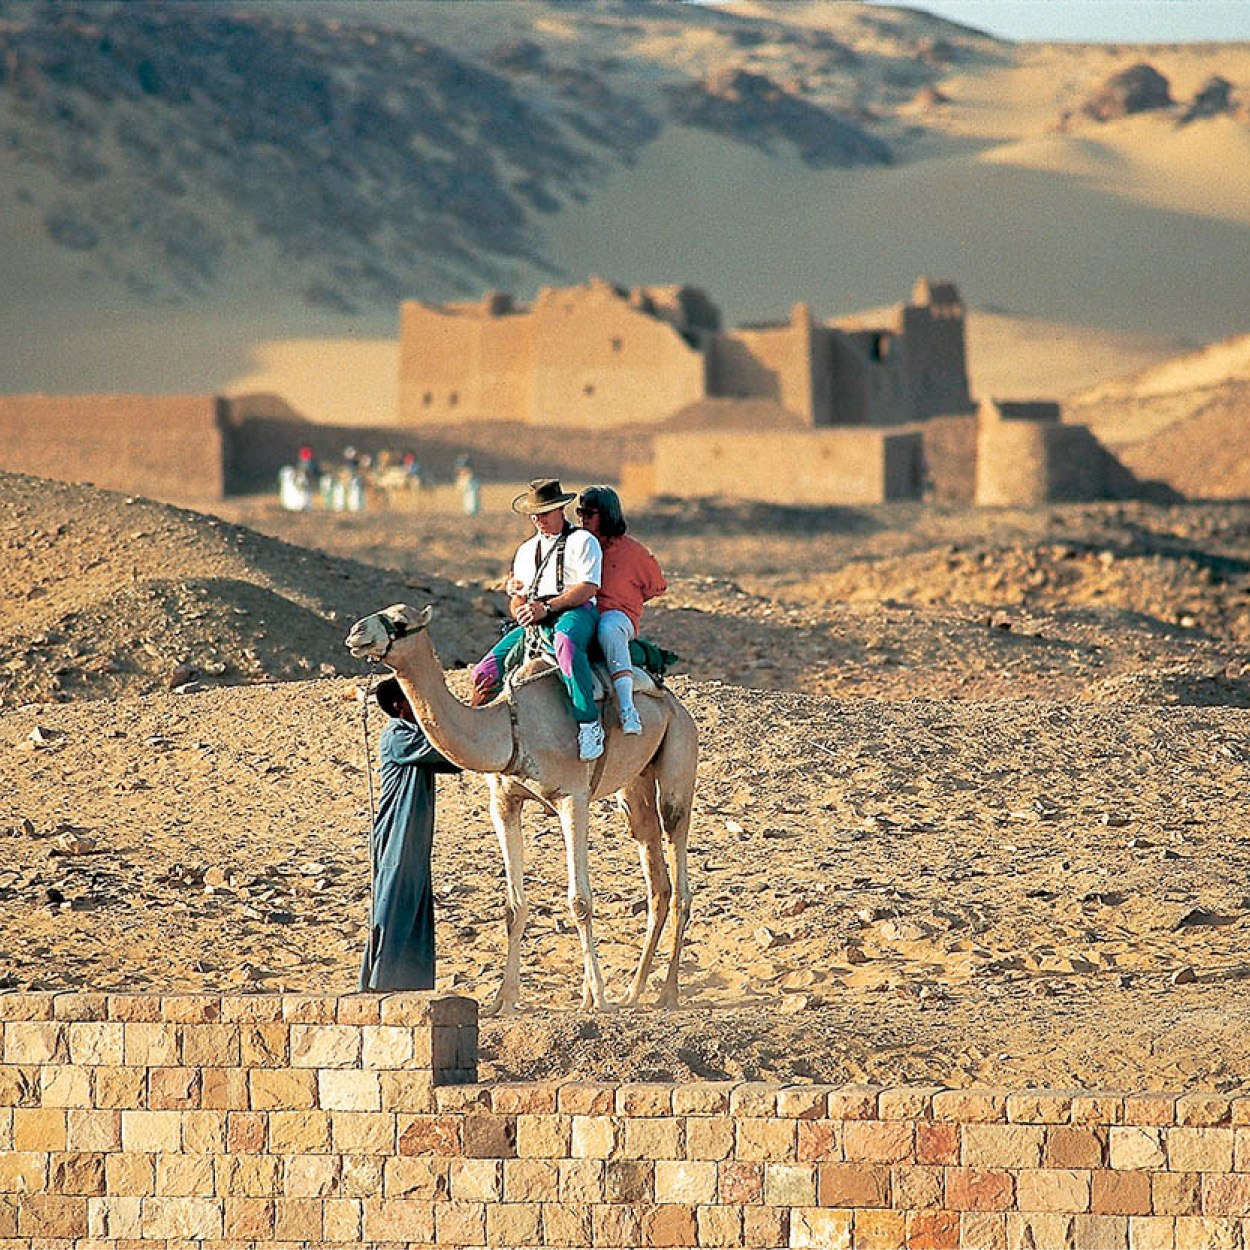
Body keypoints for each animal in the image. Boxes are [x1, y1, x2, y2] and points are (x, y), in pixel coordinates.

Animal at [345, 605, 695, 1015]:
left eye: (401, 623)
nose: (356, 633)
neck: (512, 729)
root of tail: (674, 703)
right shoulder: (503, 802)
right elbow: (514, 906)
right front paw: (503, 1000)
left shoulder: (572, 797)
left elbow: (580, 901)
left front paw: (598, 999)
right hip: (634, 784)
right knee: (657, 879)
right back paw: (633, 991)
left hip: (679, 755)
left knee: (678, 861)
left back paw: (666, 992)